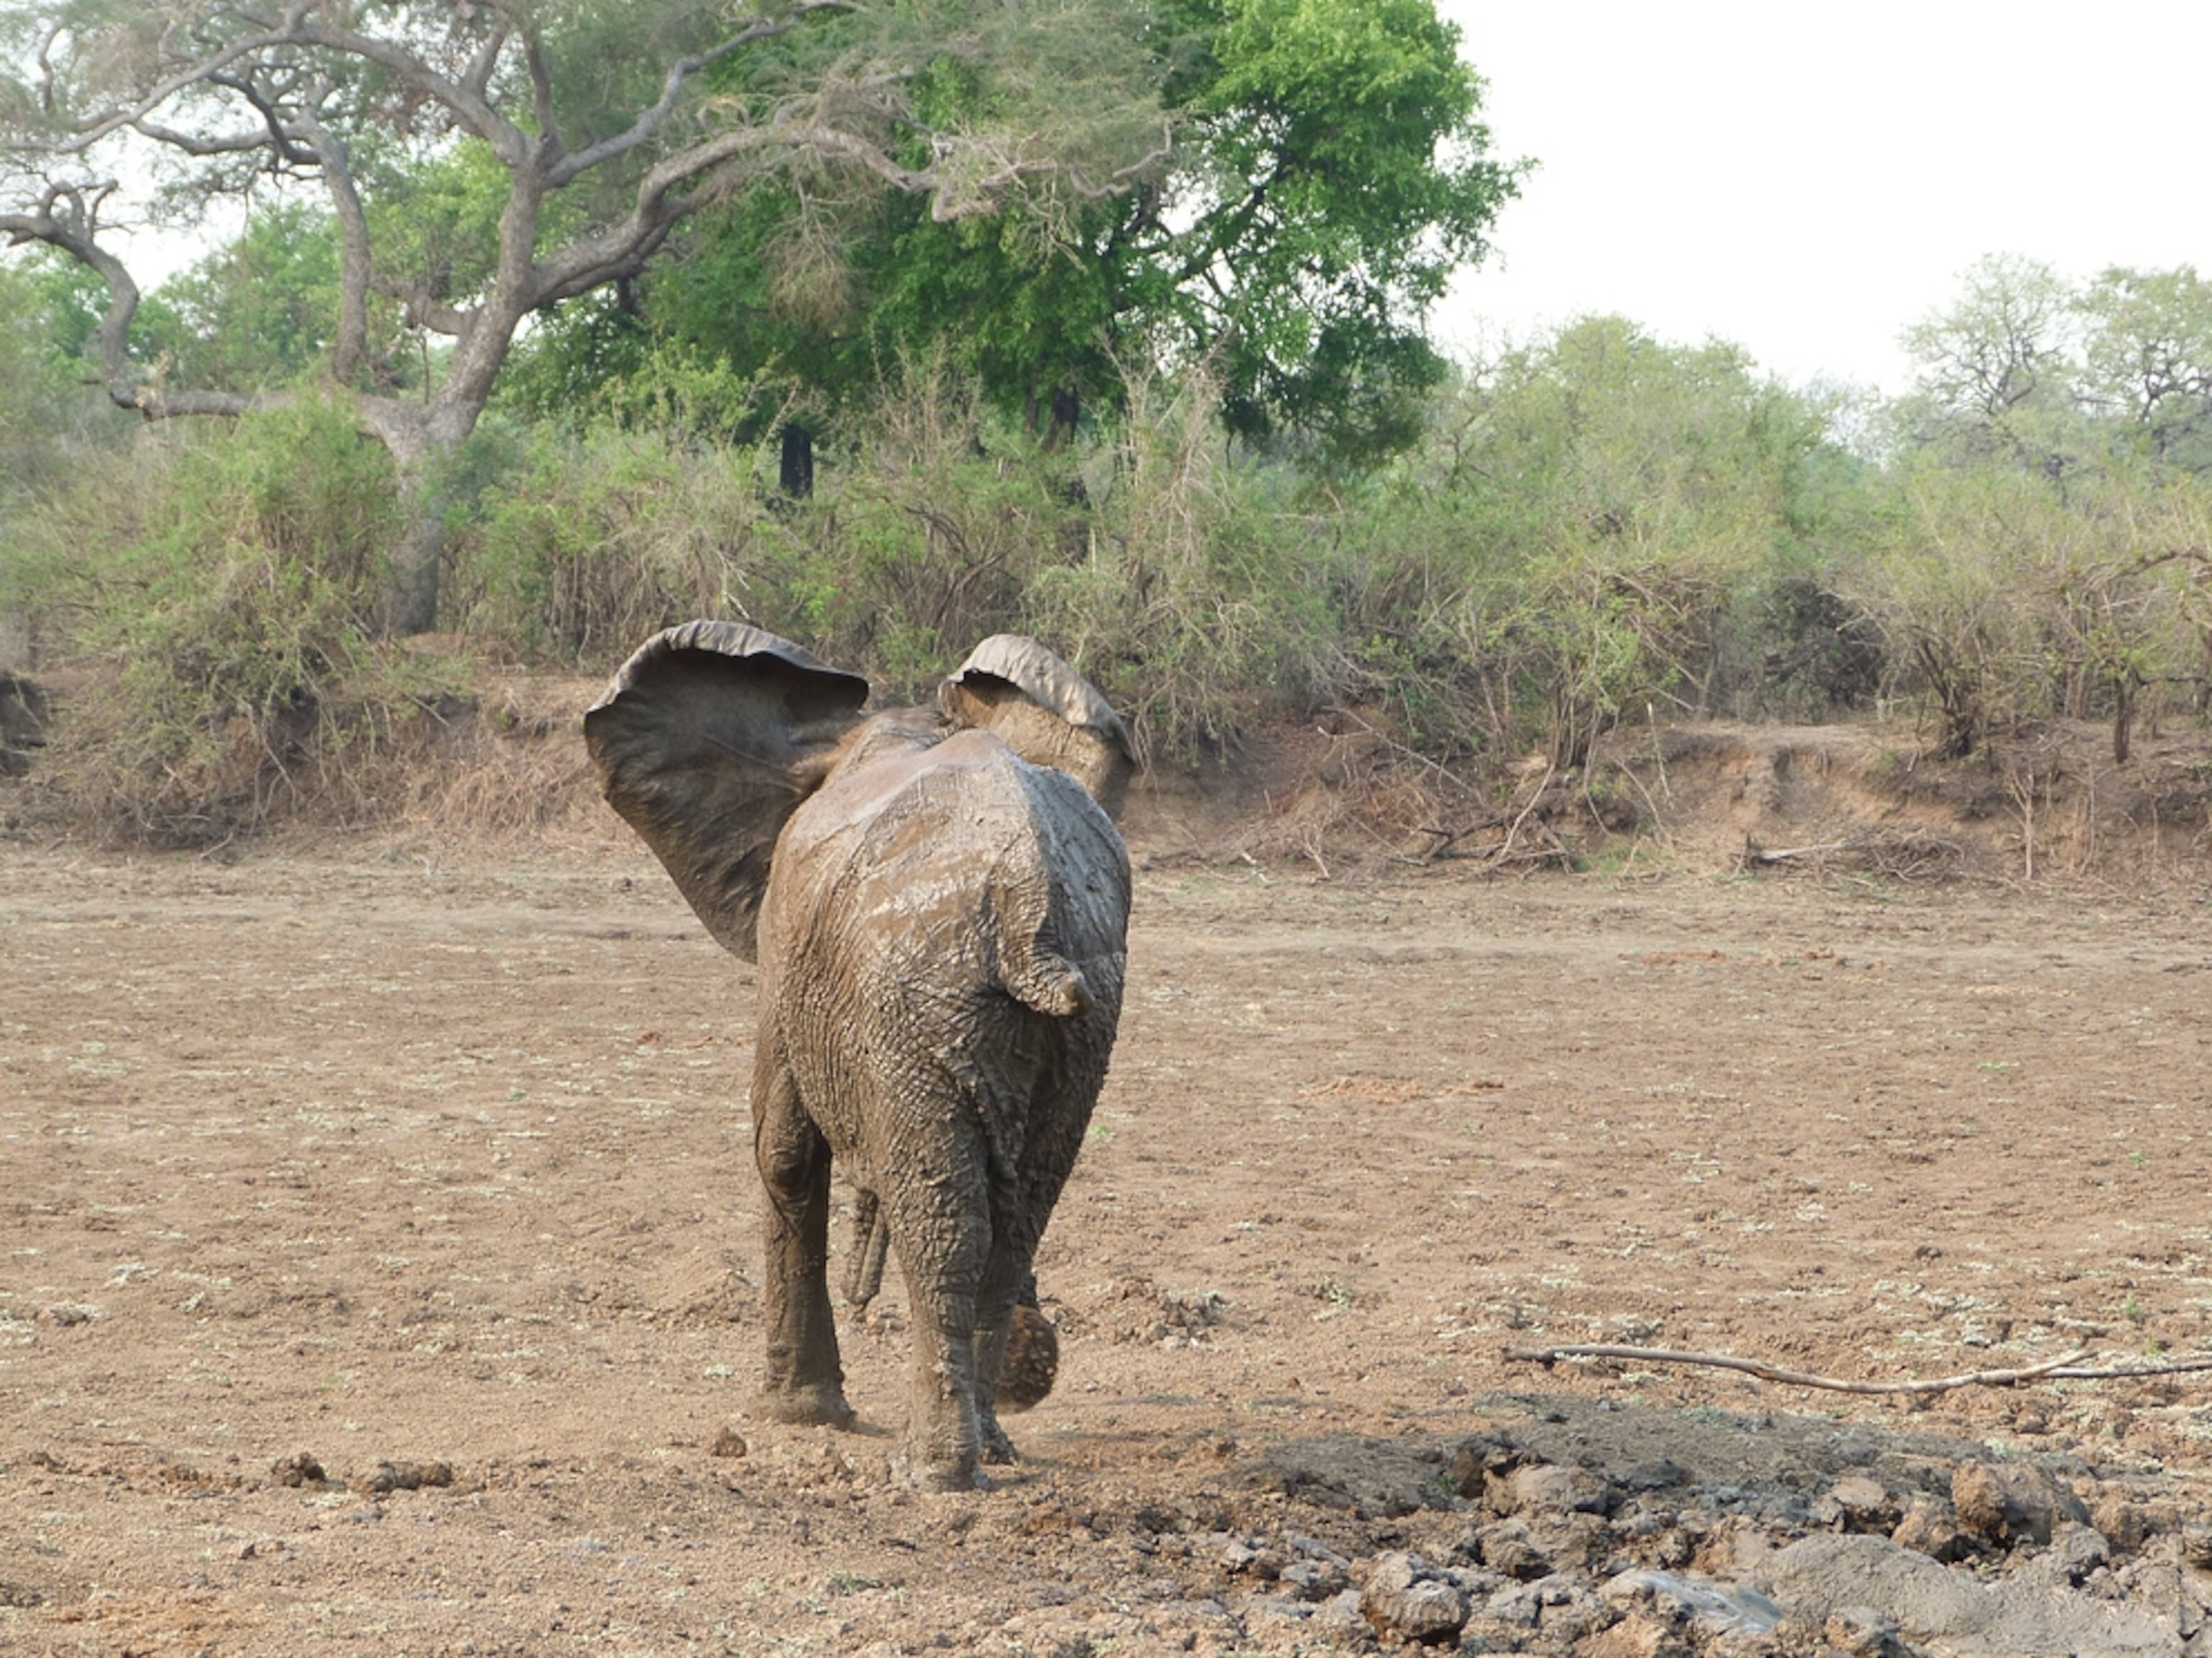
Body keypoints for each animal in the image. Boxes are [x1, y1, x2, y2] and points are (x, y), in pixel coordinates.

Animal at [584, 621, 1133, 1491]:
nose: (1037, 1367)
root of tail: (1026, 909)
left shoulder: (786, 951)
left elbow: (781, 1148)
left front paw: (796, 1414)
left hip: (913, 1004)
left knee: (943, 1223)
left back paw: (933, 1470)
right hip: (1081, 1021)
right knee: (1018, 1218)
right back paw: (991, 1448)